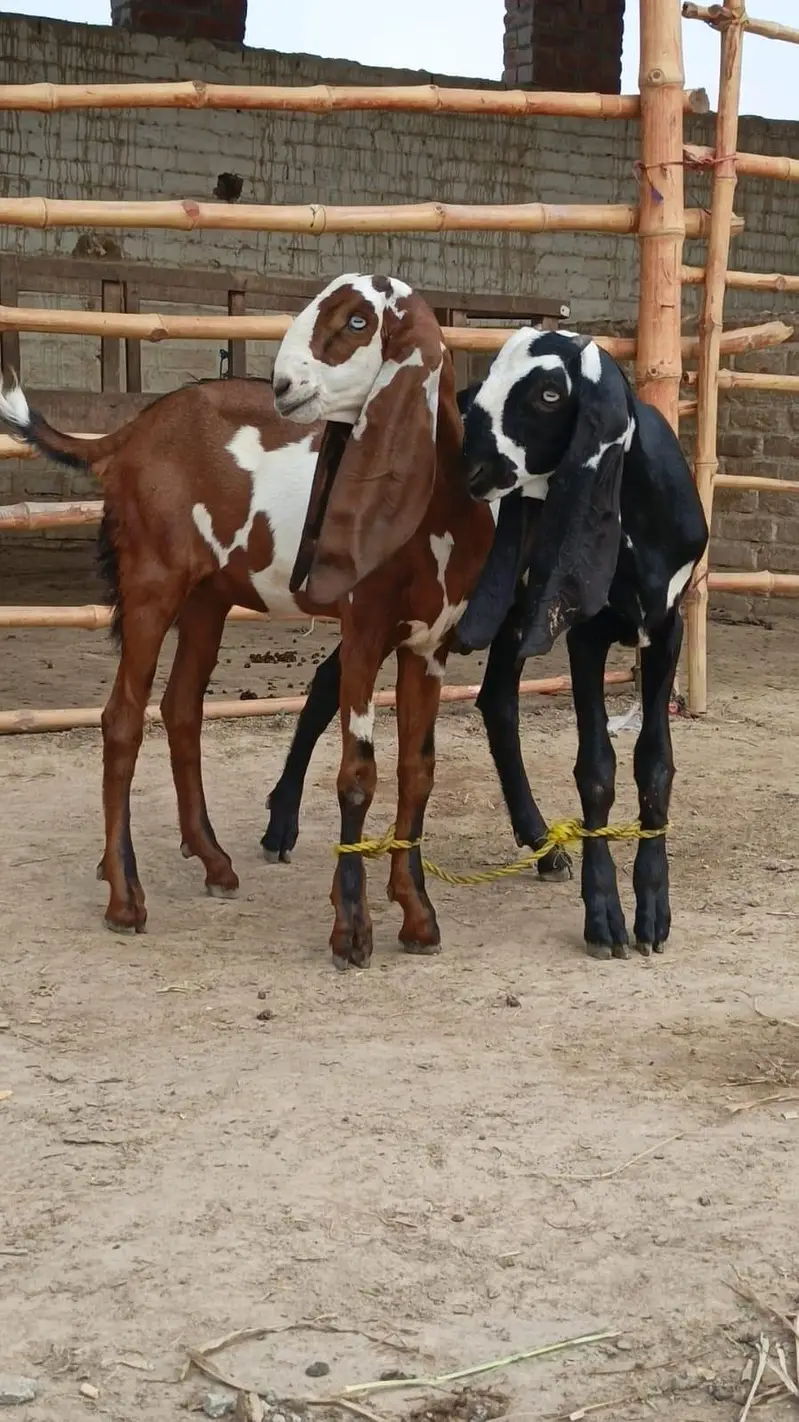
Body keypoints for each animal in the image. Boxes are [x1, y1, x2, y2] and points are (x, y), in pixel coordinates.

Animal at [0, 273, 495, 967]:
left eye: (358, 321)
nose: (284, 387)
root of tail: (130, 435)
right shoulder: (363, 632)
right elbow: (358, 775)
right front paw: (352, 930)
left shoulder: (430, 643)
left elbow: (417, 773)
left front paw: (419, 917)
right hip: (152, 582)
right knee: (122, 718)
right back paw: (125, 898)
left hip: (207, 597)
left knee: (182, 708)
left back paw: (212, 861)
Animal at [261, 329, 708, 960]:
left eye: (550, 393)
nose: (464, 460)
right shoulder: (586, 633)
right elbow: (597, 766)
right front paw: (604, 918)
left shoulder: (667, 625)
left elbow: (656, 763)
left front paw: (653, 912)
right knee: (336, 681)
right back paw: (281, 822)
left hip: (504, 609)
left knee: (491, 699)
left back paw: (542, 843)